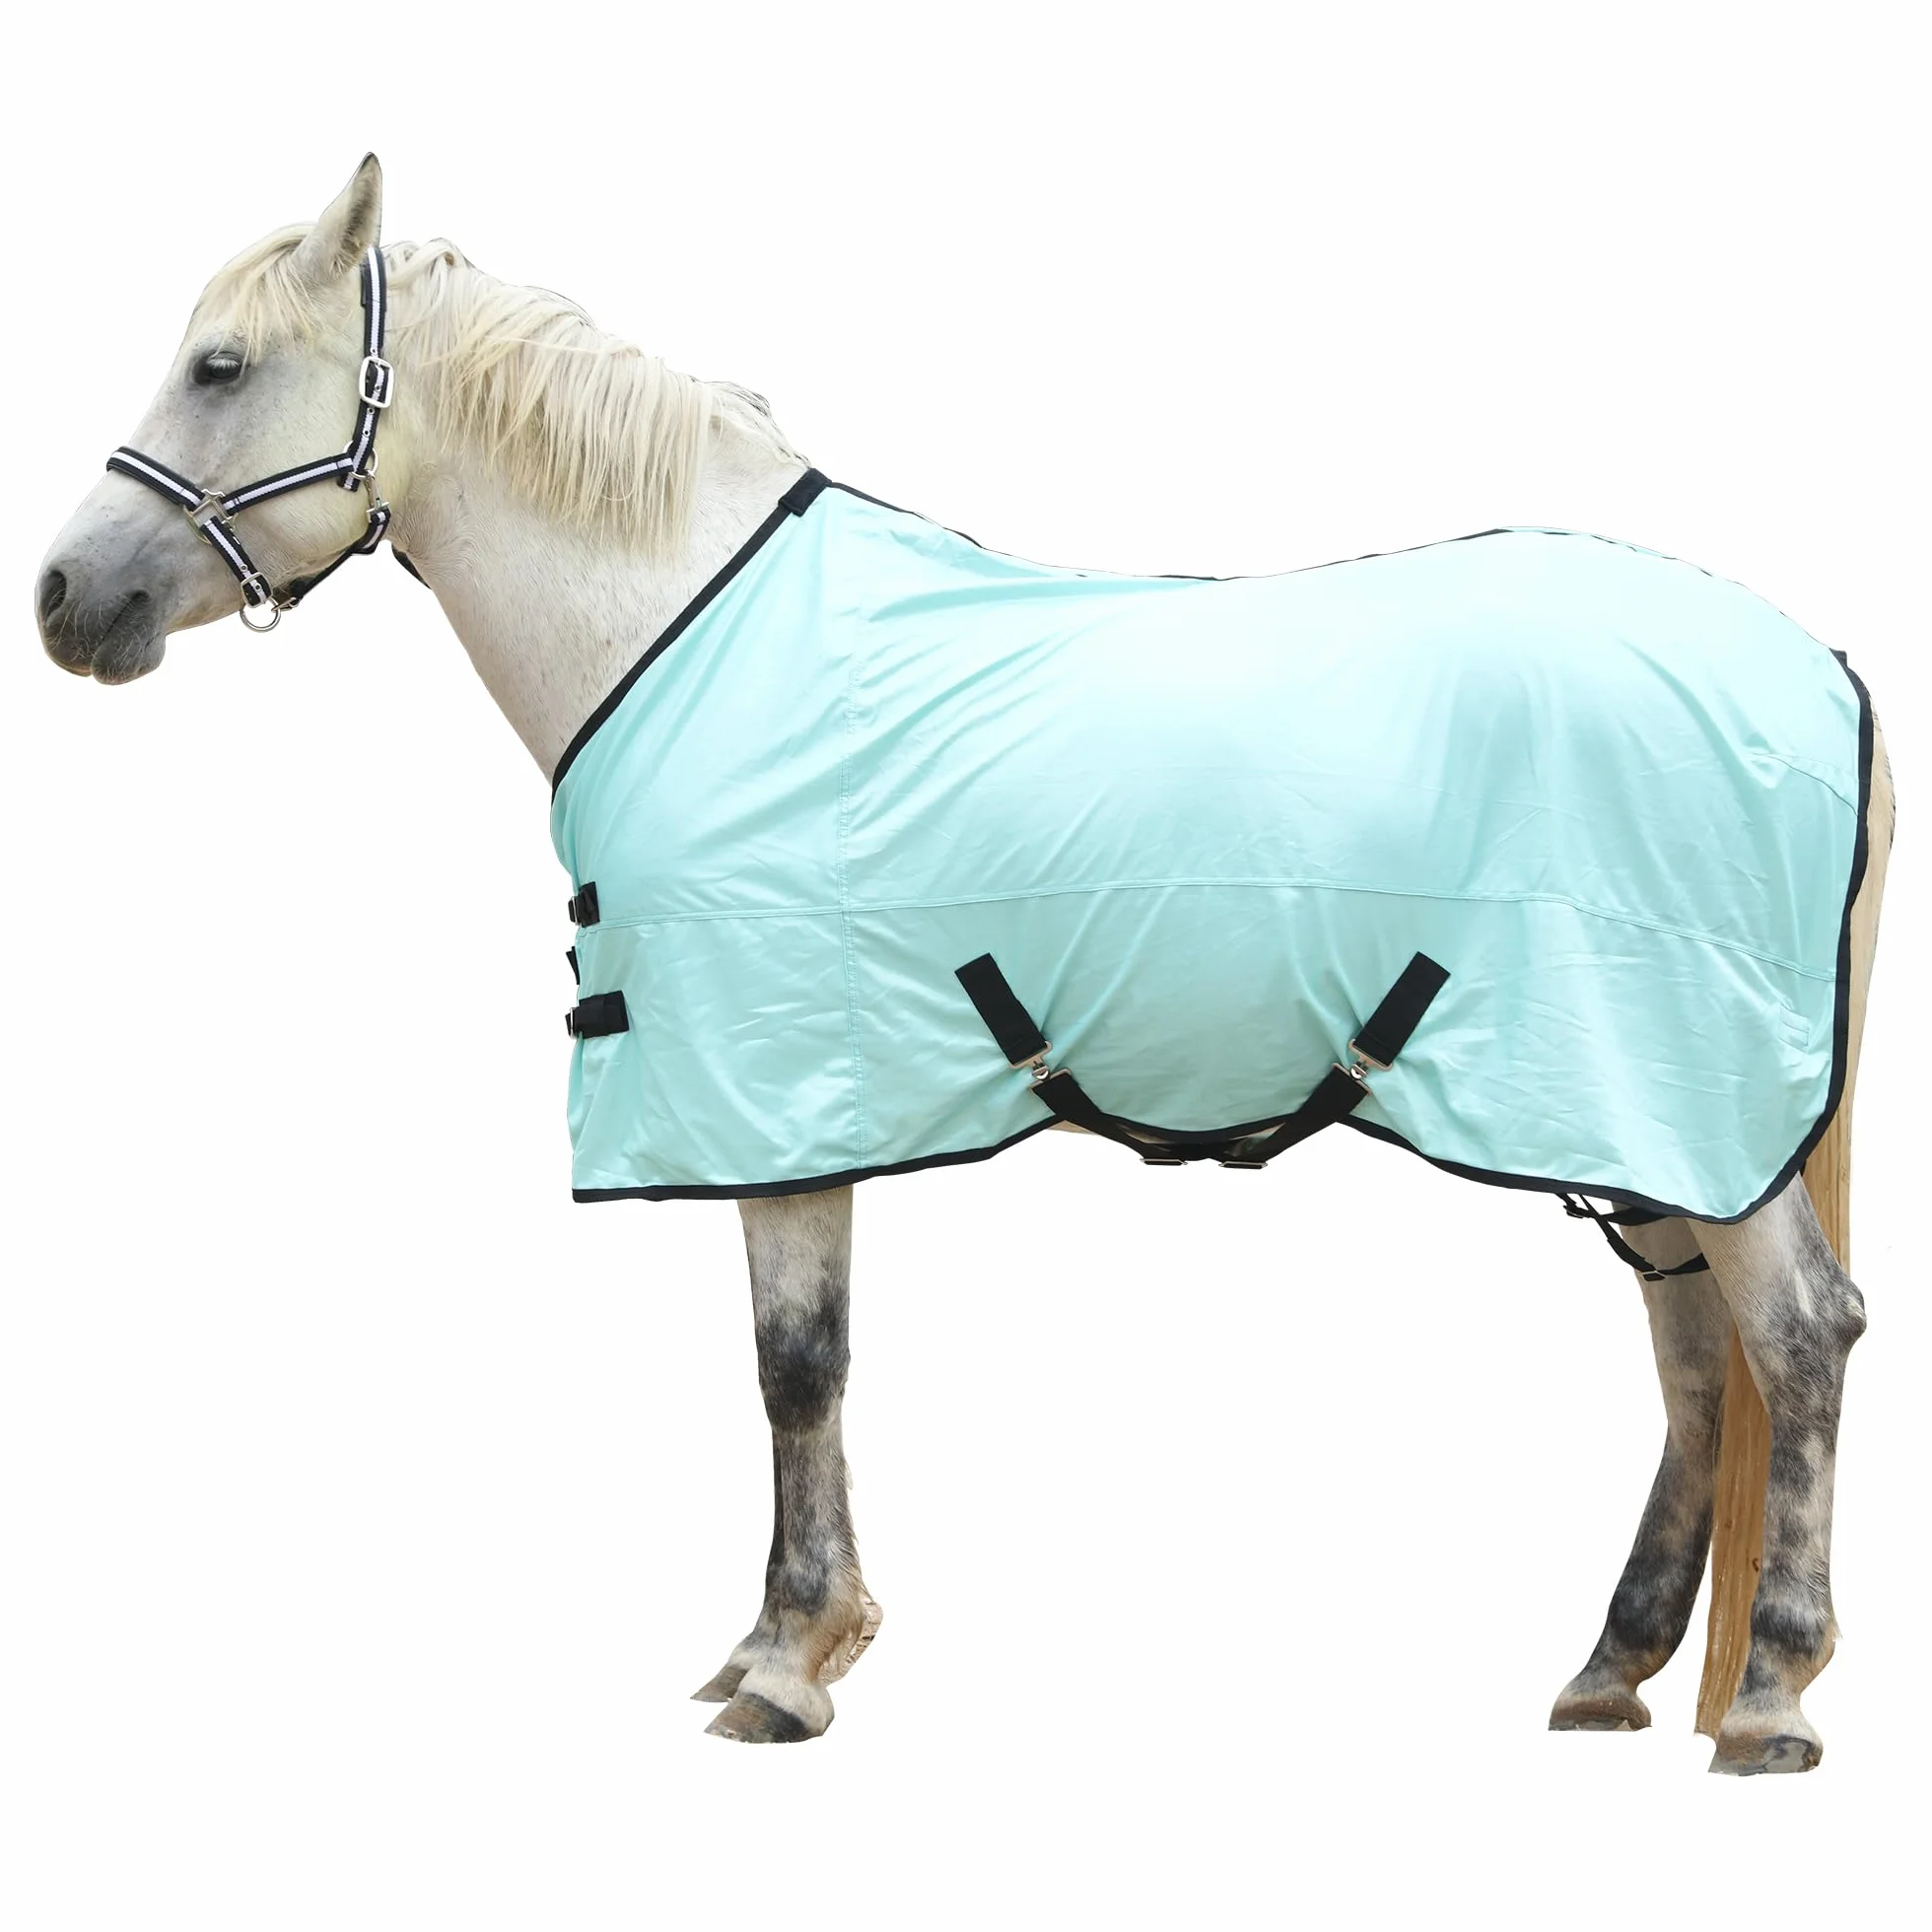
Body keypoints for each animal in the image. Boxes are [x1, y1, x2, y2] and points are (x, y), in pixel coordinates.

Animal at [35, 157, 1893, 1770]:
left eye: (217, 366)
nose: (63, 598)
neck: (684, 626)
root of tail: (1822, 673)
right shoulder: (806, 1092)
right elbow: (809, 1360)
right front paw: (799, 1636)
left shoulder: (776, 1080)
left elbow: (797, 1365)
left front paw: (786, 1667)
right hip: (1641, 1121)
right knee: (1693, 1356)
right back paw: (1614, 1668)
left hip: (1678, 1101)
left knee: (1800, 1336)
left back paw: (1770, 1694)